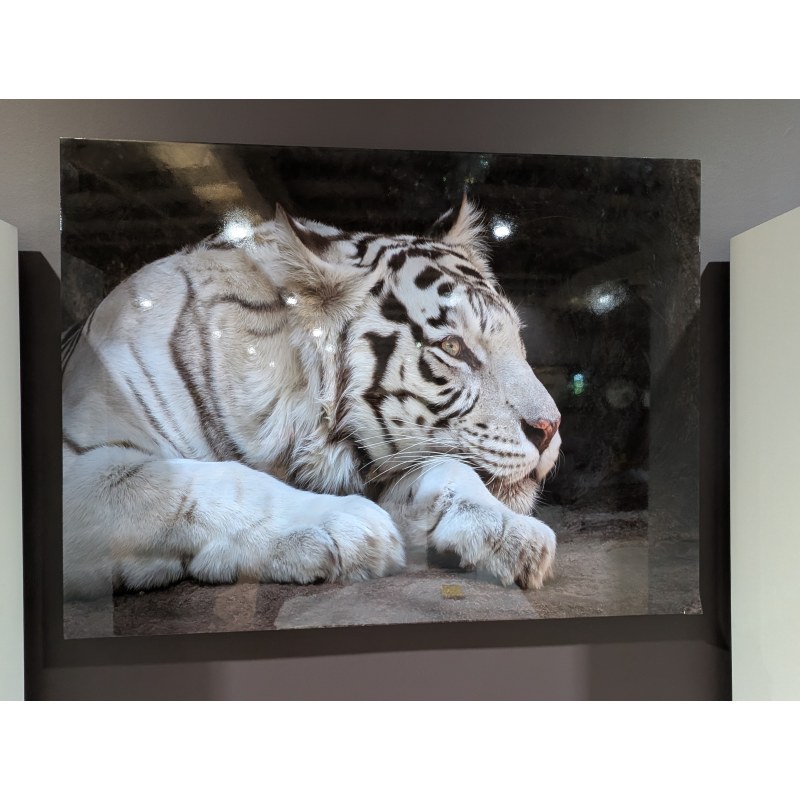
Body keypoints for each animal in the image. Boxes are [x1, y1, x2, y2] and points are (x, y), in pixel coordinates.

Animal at [62, 197, 562, 600]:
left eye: (517, 340)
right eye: (453, 347)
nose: (550, 428)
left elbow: (451, 470)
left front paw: (512, 533)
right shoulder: (82, 465)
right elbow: (211, 481)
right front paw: (349, 527)